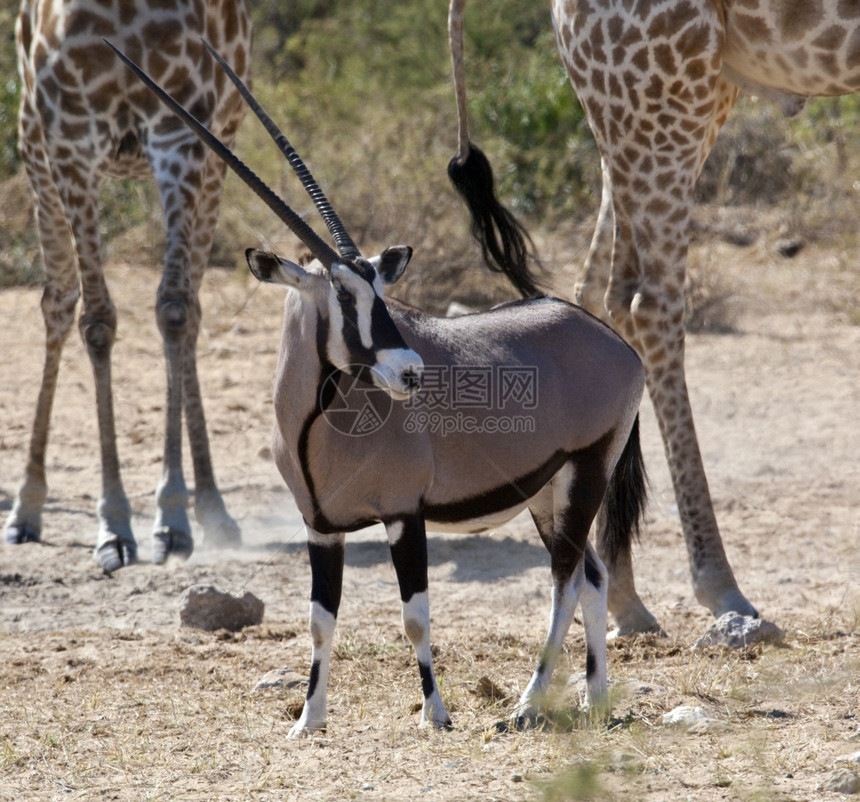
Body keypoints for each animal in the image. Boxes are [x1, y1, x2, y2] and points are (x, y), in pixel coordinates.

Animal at [7, 0, 252, 568]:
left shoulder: (180, 131)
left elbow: (173, 310)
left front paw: (172, 517)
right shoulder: (71, 139)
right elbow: (96, 321)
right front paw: (114, 525)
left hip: (222, 148)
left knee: (192, 305)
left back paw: (214, 508)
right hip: (34, 148)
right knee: (57, 303)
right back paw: (26, 509)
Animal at [450, 0, 860, 636]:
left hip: (644, 104)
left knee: (603, 290)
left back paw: (624, 597)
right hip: (665, 92)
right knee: (650, 303)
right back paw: (719, 588)